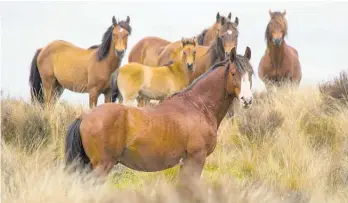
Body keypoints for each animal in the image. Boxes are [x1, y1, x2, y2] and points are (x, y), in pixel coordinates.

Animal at [65, 46, 254, 182]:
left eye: (250, 73)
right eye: (233, 73)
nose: (247, 100)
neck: (197, 106)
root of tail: (85, 116)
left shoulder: (186, 163)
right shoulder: (196, 160)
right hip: (101, 167)